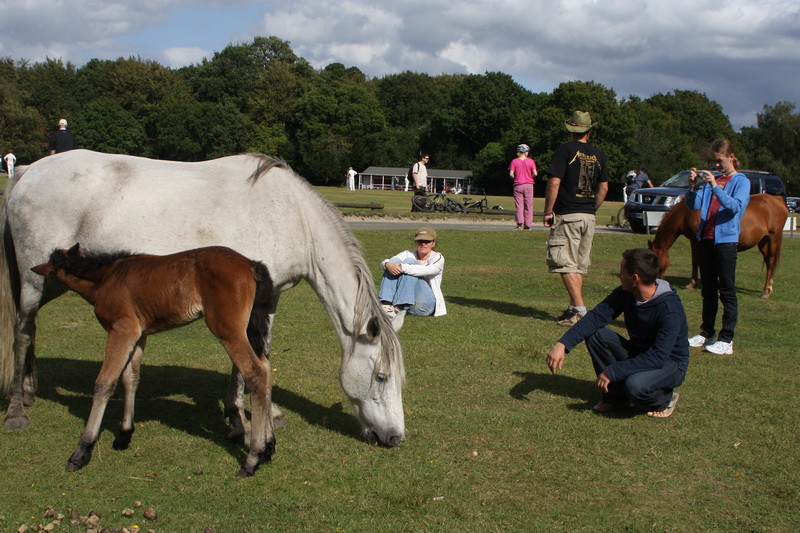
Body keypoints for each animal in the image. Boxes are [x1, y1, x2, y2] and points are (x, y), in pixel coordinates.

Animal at [1, 150, 406, 448]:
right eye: (381, 376)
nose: (395, 438)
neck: (290, 214)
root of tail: (27, 172)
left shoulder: (266, 299)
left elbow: (258, 354)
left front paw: (253, 413)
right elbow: (250, 356)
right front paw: (243, 419)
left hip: (53, 279)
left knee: (31, 328)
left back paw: (30, 389)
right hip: (35, 282)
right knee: (22, 331)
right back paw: (17, 411)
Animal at [32, 243, 276, 476]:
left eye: (51, 269)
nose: (35, 273)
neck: (107, 277)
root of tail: (251, 263)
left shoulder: (122, 330)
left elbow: (105, 382)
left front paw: (81, 451)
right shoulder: (138, 335)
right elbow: (130, 379)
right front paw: (124, 434)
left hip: (227, 329)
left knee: (255, 373)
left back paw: (252, 459)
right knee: (265, 368)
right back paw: (268, 447)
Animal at [644, 193, 788, 298]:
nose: (655, 284)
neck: (686, 212)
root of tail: (778, 200)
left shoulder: (697, 241)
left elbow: (697, 261)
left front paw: (694, 285)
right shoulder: (695, 241)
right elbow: (696, 261)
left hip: (773, 239)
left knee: (771, 262)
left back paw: (766, 291)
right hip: (763, 242)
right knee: (769, 263)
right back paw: (770, 287)